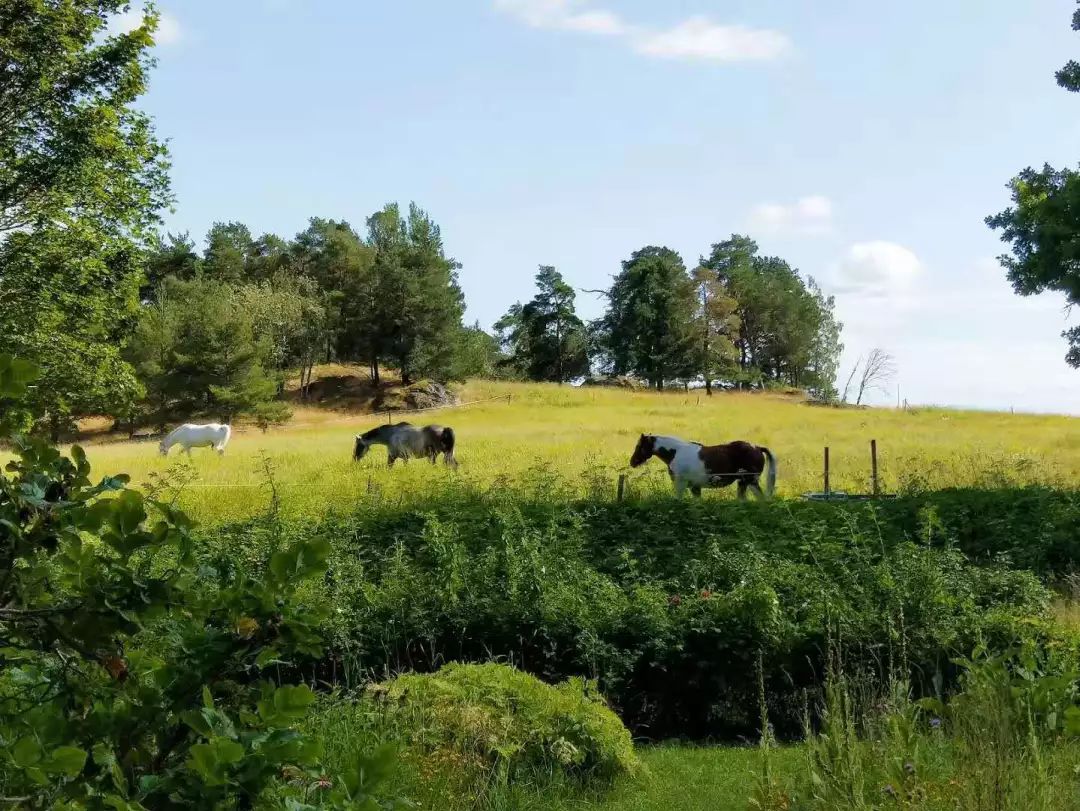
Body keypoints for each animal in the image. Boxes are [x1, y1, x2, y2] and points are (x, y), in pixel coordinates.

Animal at [630, 434, 777, 498]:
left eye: (640, 446)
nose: (632, 462)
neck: (676, 452)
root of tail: (757, 447)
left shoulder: (680, 484)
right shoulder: (694, 487)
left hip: (751, 481)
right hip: (742, 483)